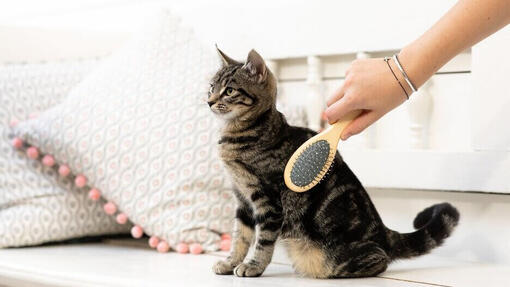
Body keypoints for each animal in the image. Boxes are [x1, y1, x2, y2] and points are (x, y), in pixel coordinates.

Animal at [206, 49, 458, 280]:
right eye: (211, 87)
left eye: (229, 91)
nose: (209, 101)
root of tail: (384, 232)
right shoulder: (242, 199)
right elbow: (240, 237)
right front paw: (230, 262)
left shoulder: (268, 201)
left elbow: (262, 241)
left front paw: (253, 266)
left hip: (334, 257)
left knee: (379, 260)